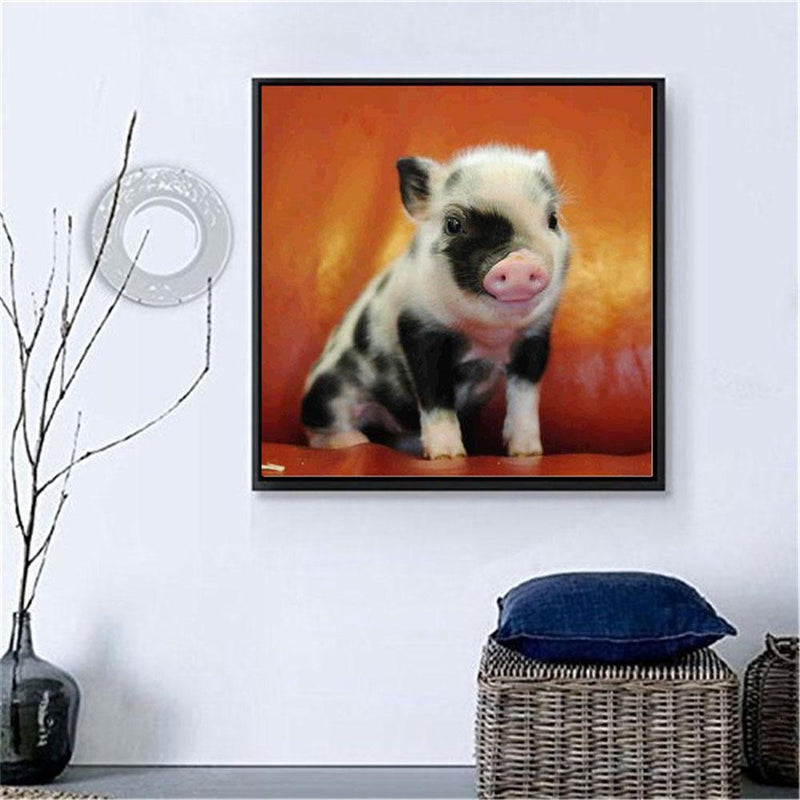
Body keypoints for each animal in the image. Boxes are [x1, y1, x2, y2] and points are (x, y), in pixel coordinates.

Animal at [301, 145, 570, 459]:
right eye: (453, 224)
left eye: (552, 219)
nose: (519, 263)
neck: (487, 335)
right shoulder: (419, 329)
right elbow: (435, 395)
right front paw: (447, 456)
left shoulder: (535, 338)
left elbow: (525, 398)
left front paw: (528, 453)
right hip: (327, 392)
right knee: (320, 427)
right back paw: (354, 442)